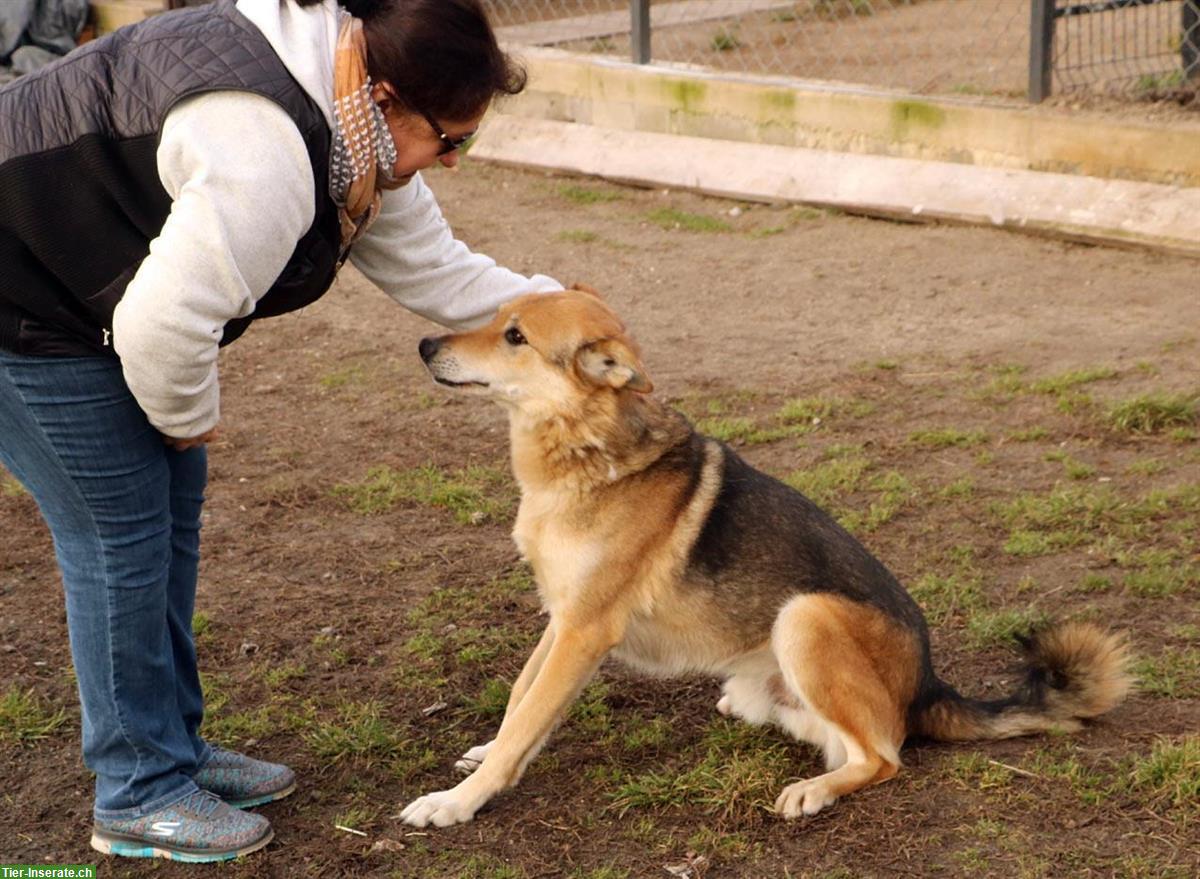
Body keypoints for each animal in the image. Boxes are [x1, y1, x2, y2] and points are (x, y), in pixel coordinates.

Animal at [398, 290, 1128, 830]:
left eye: (515, 337)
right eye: (495, 319)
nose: (425, 345)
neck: (586, 451)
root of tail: (929, 685)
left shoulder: (584, 630)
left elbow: (528, 716)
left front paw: (457, 803)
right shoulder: (561, 619)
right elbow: (521, 701)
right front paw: (486, 754)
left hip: (805, 616)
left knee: (884, 754)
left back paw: (815, 789)